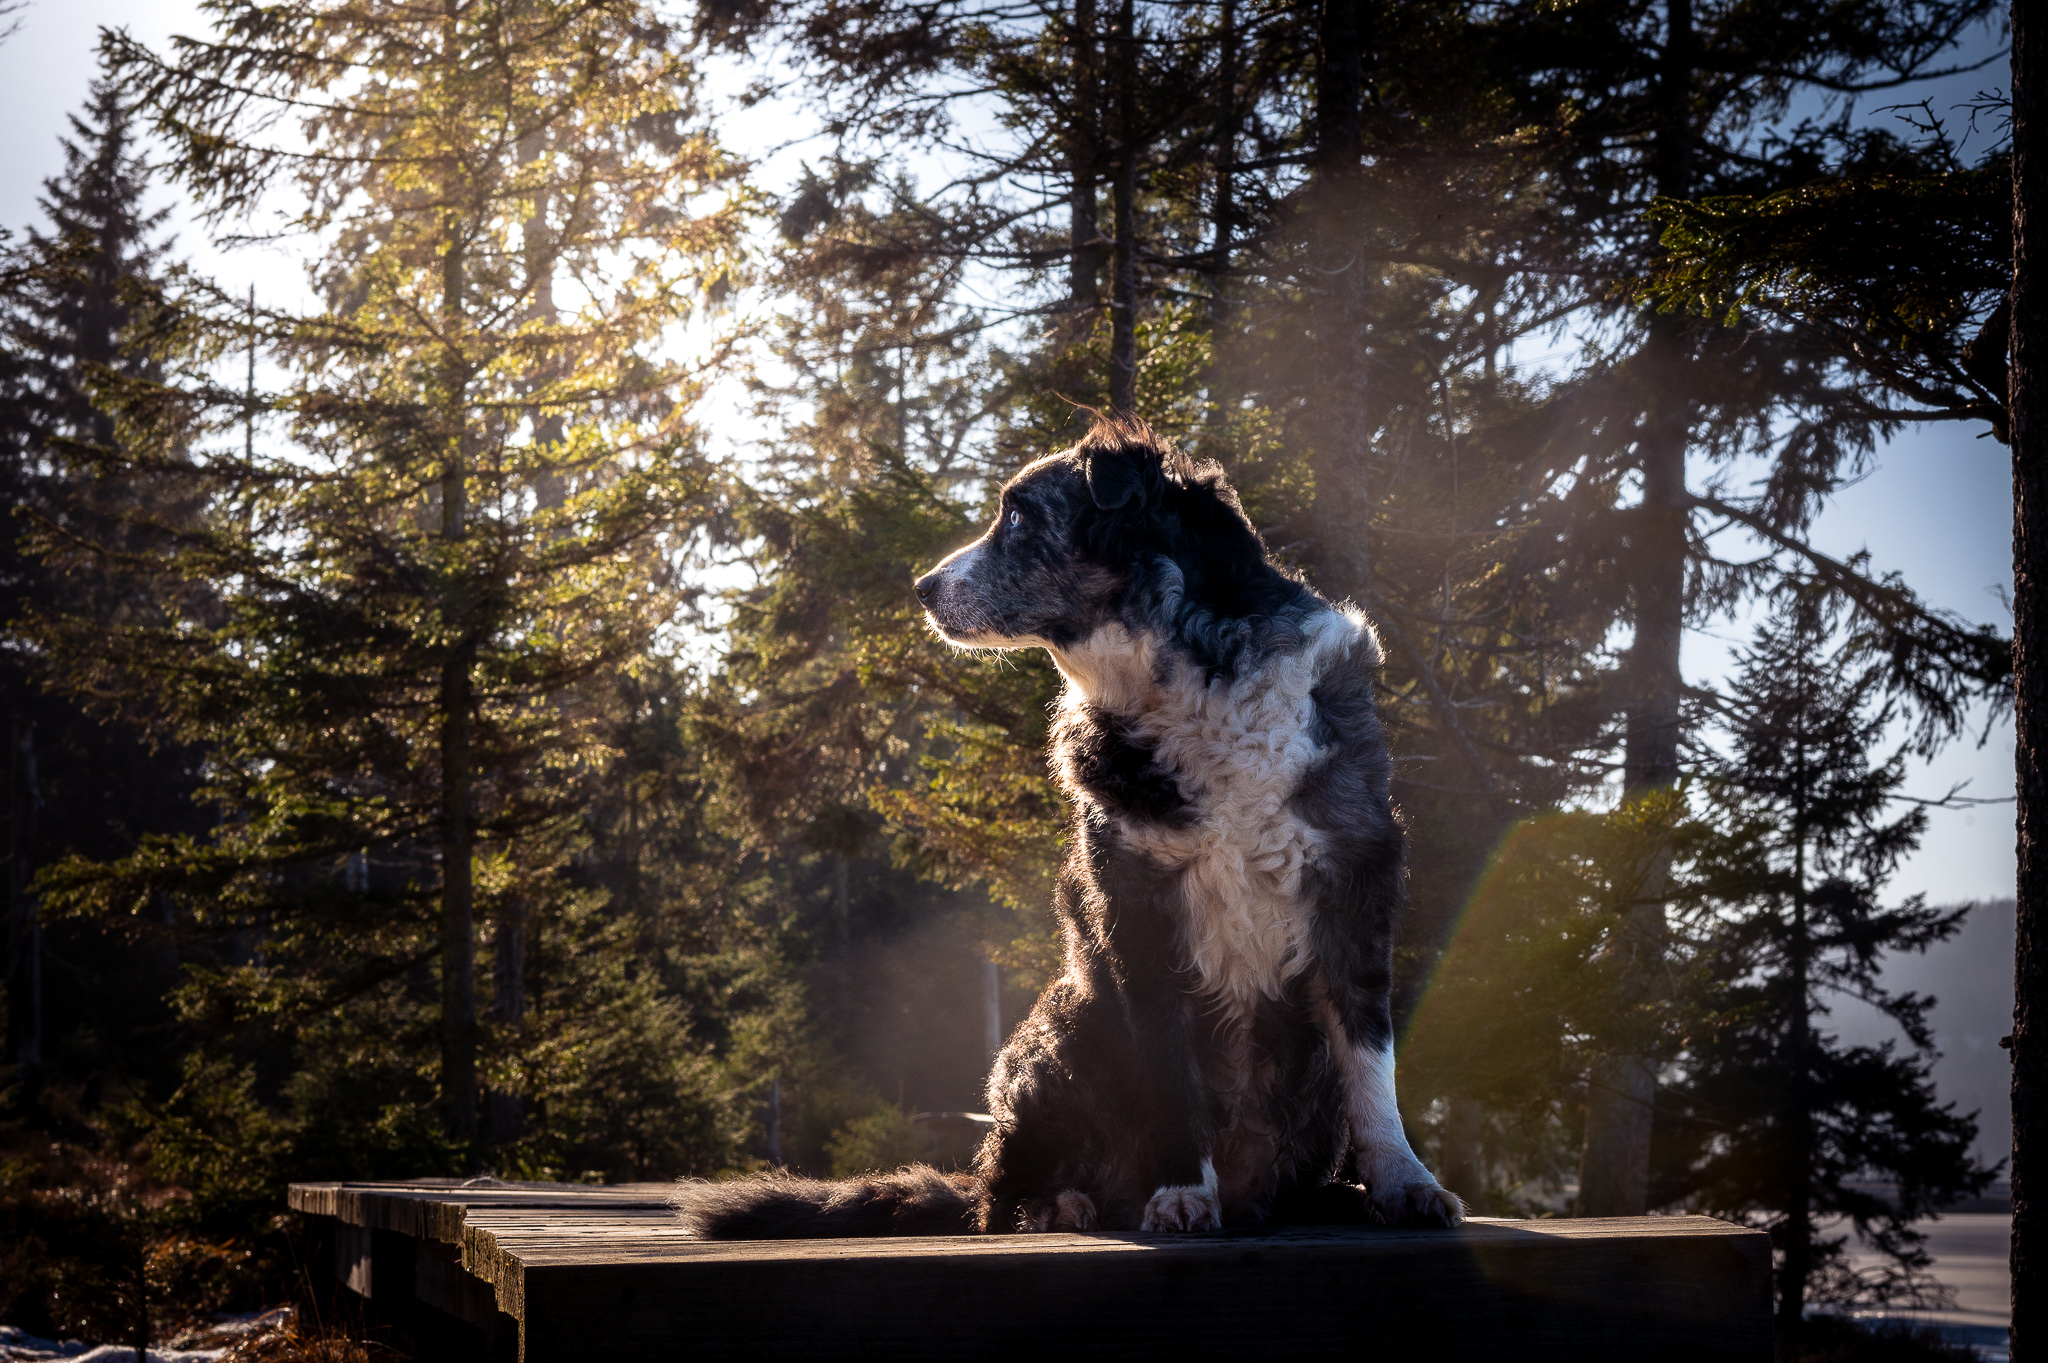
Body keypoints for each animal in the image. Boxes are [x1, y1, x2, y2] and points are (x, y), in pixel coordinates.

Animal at [679, 419, 1466, 1236]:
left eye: (1020, 516)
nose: (922, 588)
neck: (1195, 678)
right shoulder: (1140, 916)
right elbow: (1171, 1078)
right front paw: (1181, 1191)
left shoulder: (1355, 892)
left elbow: (1372, 1068)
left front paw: (1402, 1181)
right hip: (1065, 1028)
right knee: (998, 1198)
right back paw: (1060, 1203)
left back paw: (1322, 1194)